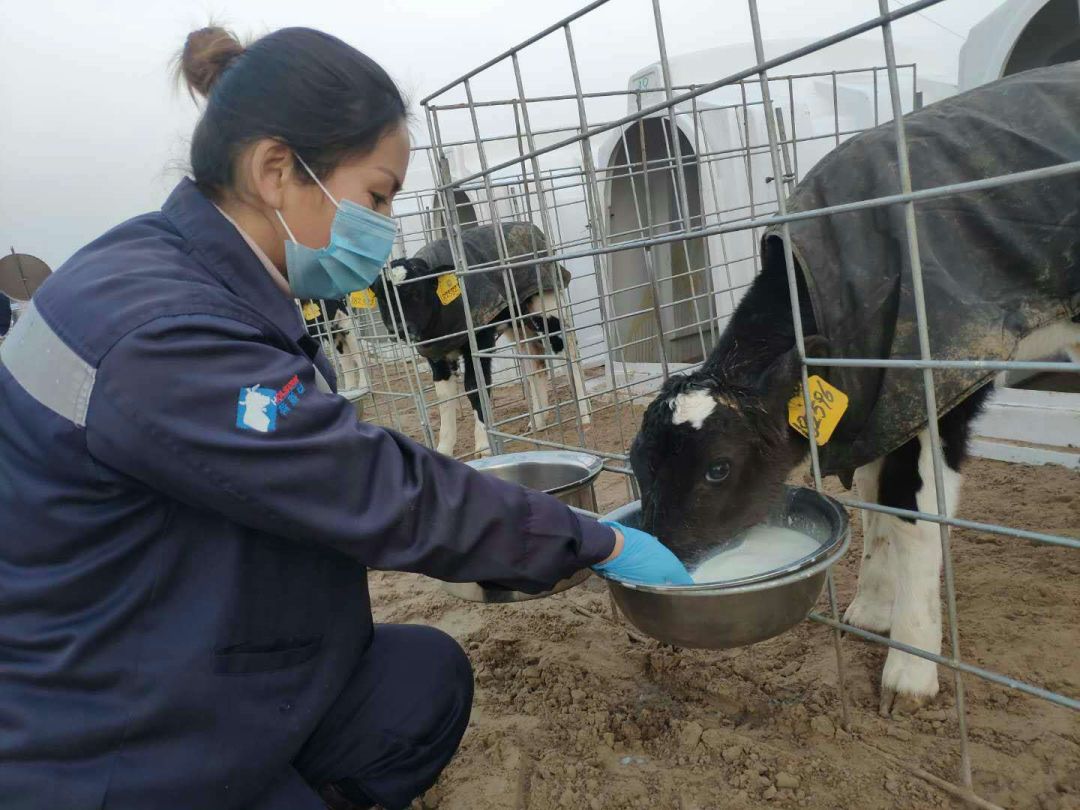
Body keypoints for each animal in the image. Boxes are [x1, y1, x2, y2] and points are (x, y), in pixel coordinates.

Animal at [630, 66, 1075, 721]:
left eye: (718, 468)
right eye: (637, 464)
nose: (658, 558)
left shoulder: (935, 390)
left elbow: (914, 516)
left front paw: (910, 669)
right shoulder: (875, 406)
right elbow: (872, 500)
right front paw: (871, 607)